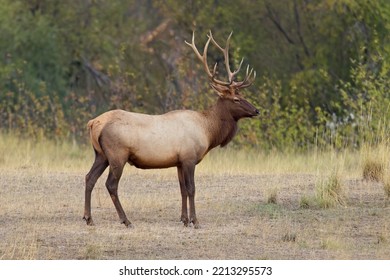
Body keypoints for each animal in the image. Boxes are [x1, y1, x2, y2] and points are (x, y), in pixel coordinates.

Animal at [83, 30, 258, 229]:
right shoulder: (189, 158)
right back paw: (126, 220)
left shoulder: (179, 162)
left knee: (89, 177)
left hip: (100, 154)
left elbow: (182, 189)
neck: (207, 130)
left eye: (242, 95)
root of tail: (94, 123)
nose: (256, 110)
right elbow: (191, 189)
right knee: (111, 184)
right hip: (117, 154)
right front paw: (195, 221)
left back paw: (88, 218)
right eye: (236, 99)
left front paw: (184, 219)